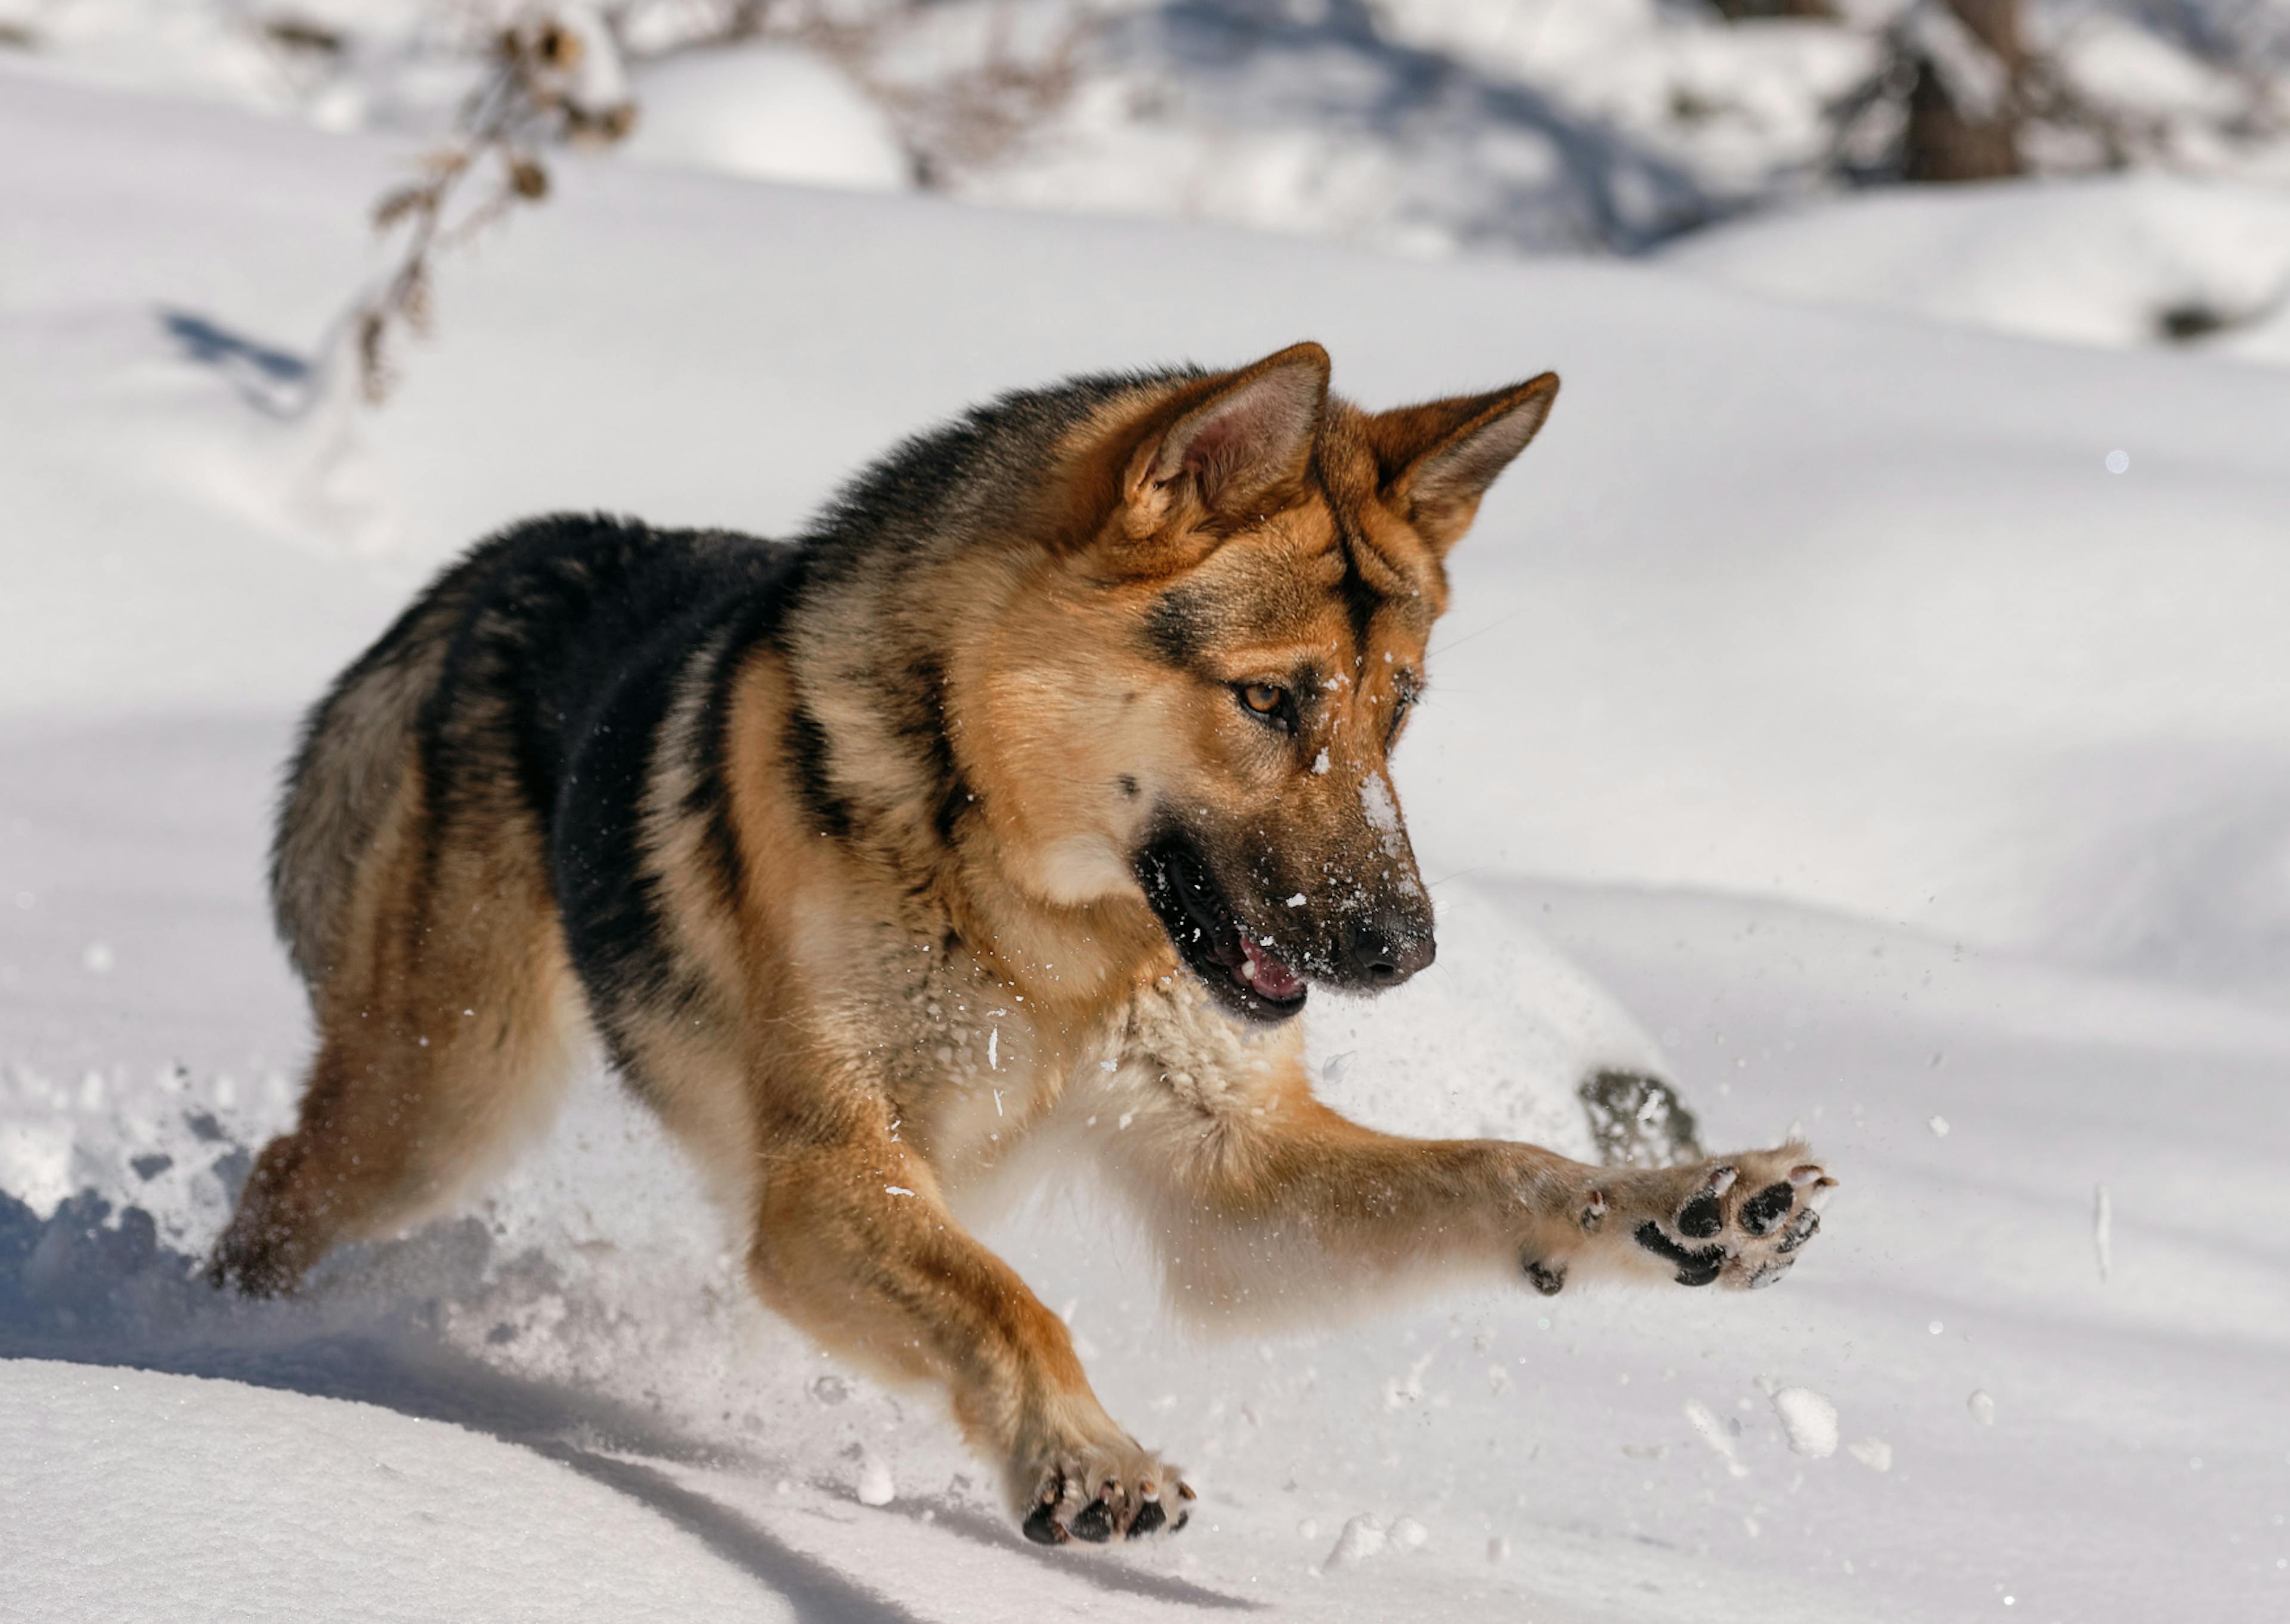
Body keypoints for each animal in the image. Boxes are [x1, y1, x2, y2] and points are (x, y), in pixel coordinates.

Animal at [211, 346, 1822, 1548]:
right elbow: (1009, 1299)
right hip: (443, 1110)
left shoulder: (1233, 1181)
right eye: (1269, 700)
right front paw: (1084, 1455)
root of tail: (513, 556)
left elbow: (1504, 1169)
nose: (1405, 949)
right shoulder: (825, 1181)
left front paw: (1694, 1201)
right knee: (277, 1191)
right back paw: (227, 1356)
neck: (1038, 919)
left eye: (1399, 708)